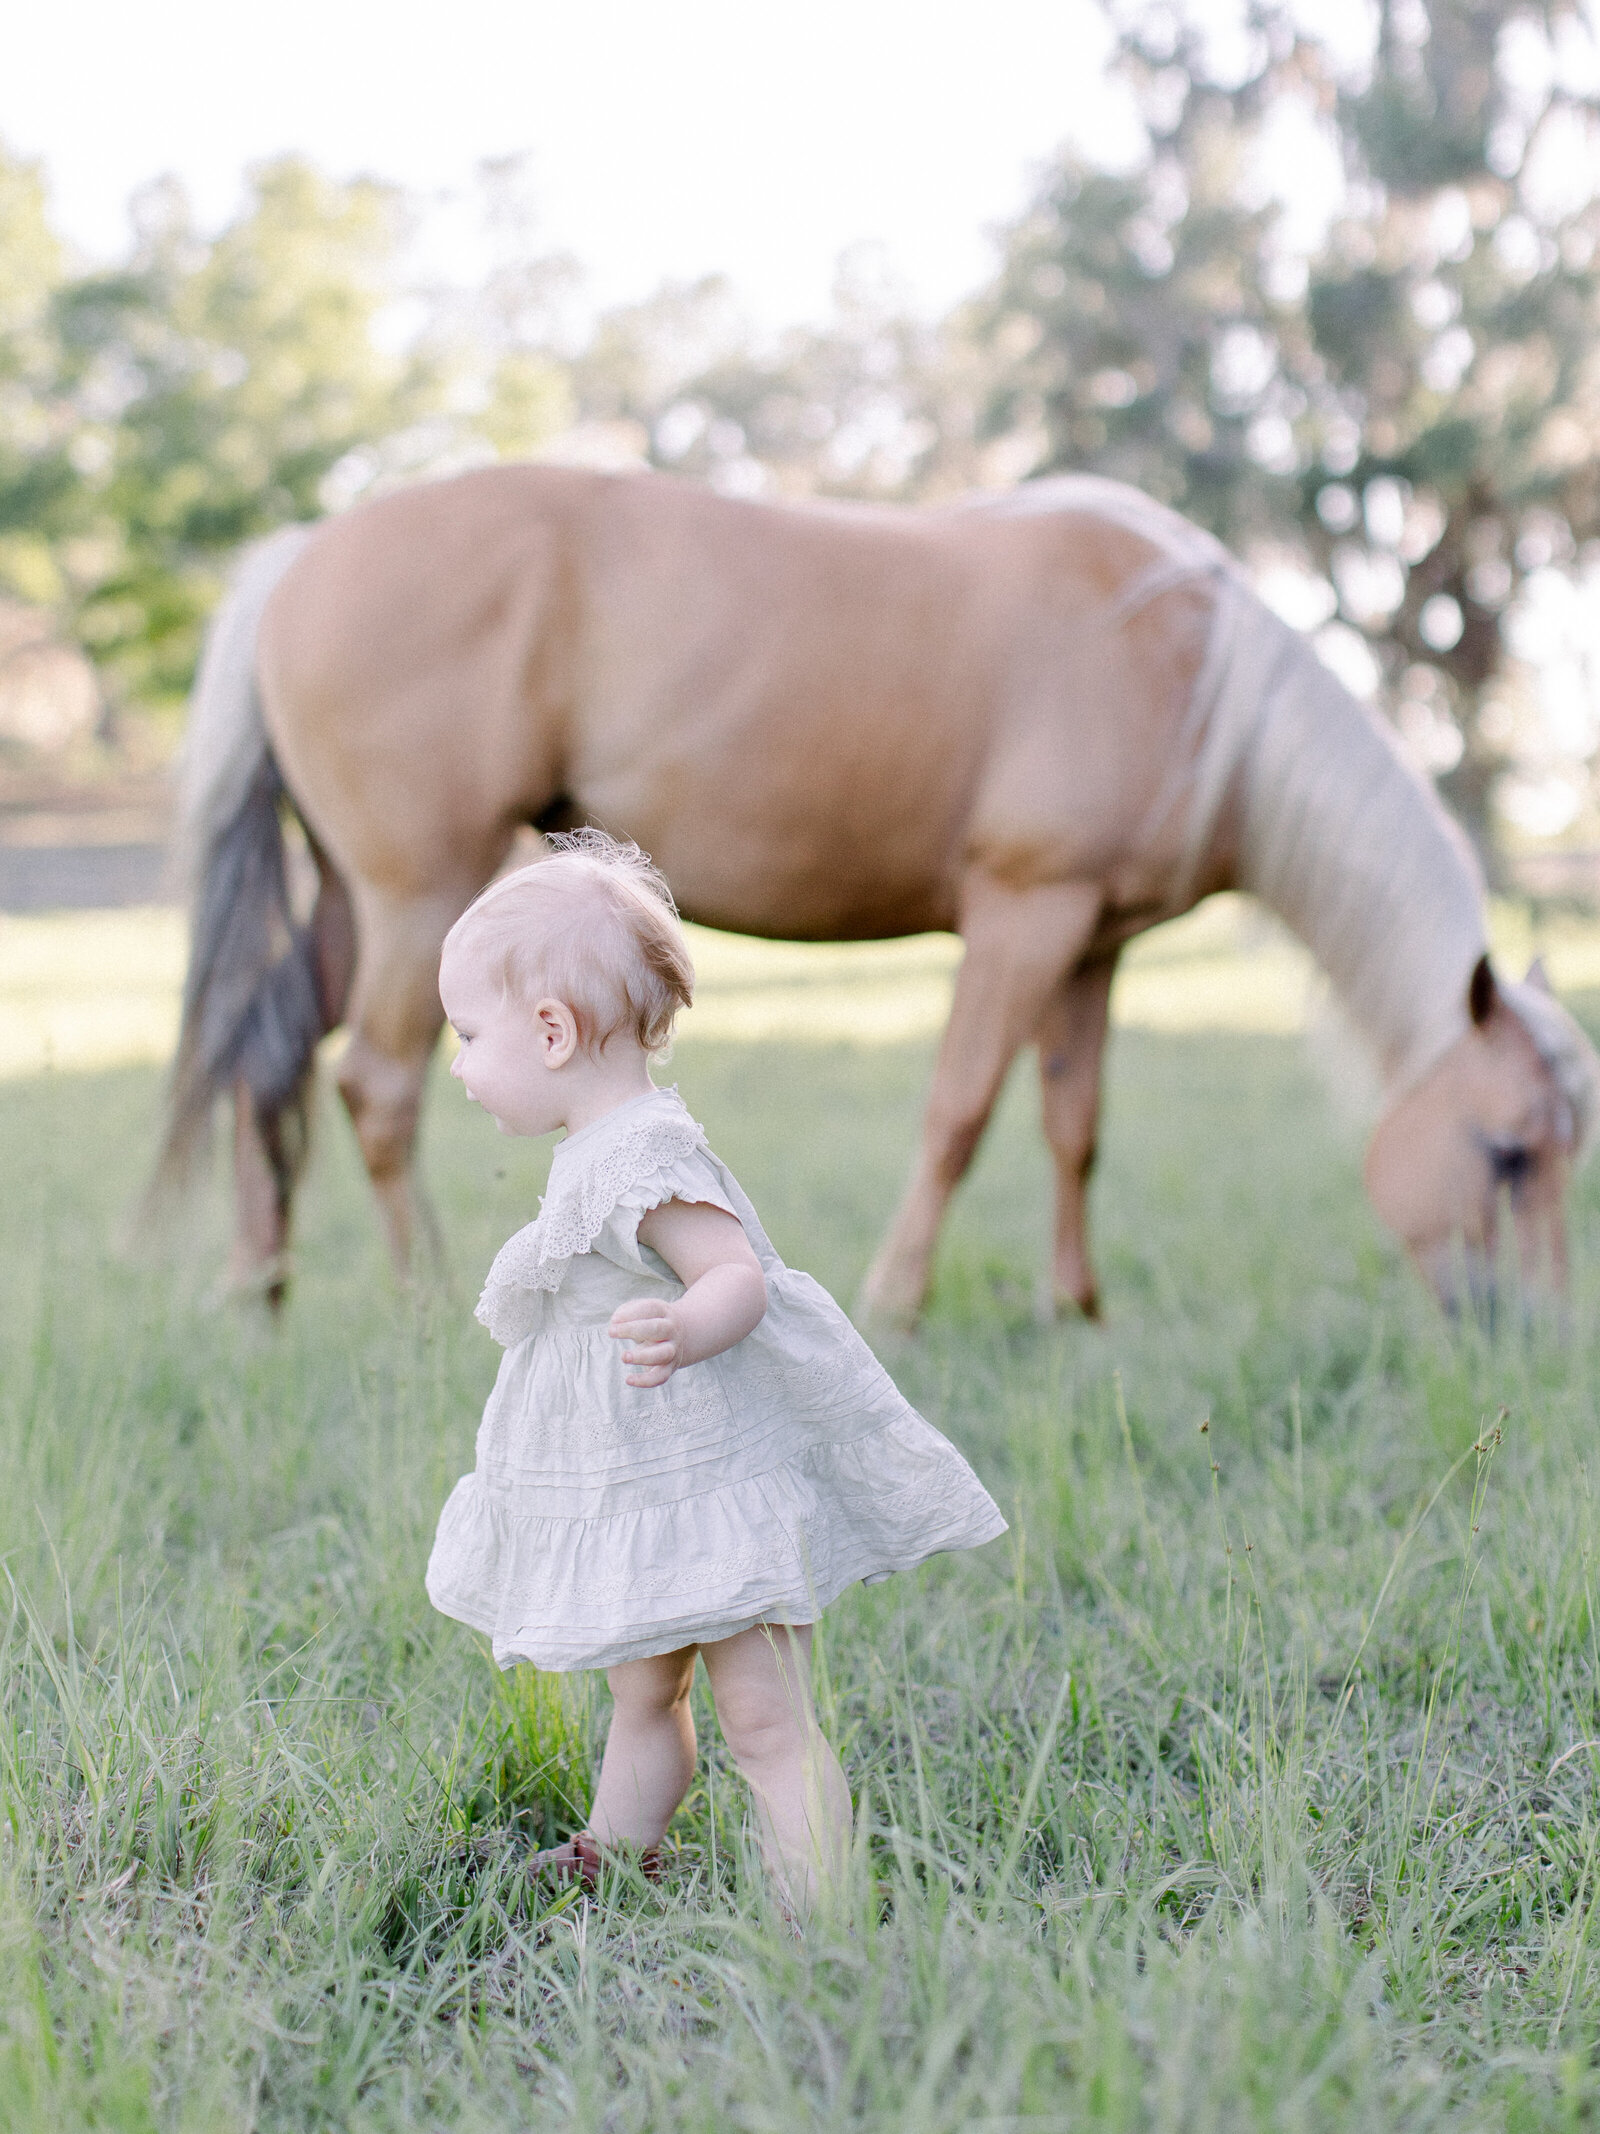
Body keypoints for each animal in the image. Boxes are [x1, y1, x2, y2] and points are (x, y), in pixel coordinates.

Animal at [155, 465, 1599, 1321]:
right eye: (1505, 1150)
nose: (1526, 1326)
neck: (1189, 674)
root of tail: (300, 550)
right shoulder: (1023, 917)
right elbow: (960, 1114)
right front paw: (899, 1304)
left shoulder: (1092, 946)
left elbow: (1073, 1127)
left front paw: (1078, 1313)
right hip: (421, 898)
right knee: (376, 1086)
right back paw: (423, 1302)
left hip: (356, 904)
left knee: (264, 1051)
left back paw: (257, 1288)